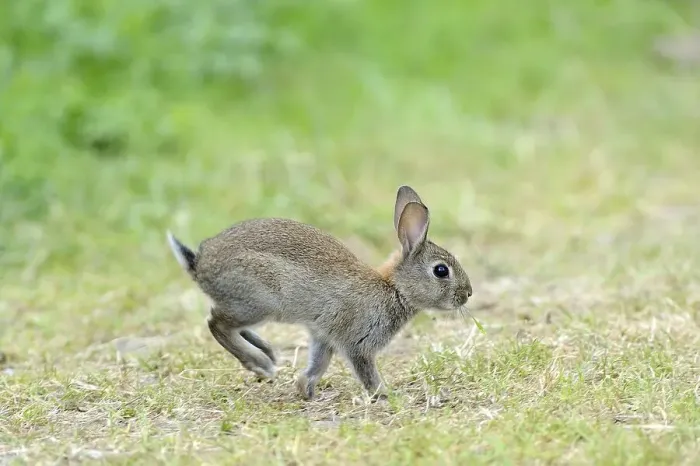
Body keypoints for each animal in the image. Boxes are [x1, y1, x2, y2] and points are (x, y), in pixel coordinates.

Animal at [166, 185, 473, 400]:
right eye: (441, 271)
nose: (467, 294)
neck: (394, 289)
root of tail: (200, 264)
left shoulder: (324, 337)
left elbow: (318, 364)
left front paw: (304, 390)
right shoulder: (358, 343)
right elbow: (366, 372)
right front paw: (387, 394)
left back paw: (267, 352)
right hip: (258, 300)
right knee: (216, 323)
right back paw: (260, 364)